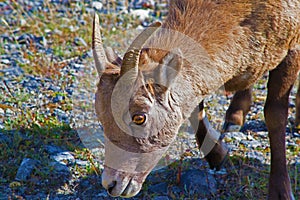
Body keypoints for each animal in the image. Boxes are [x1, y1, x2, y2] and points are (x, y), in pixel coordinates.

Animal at [92, 0, 298, 199]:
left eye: (139, 117)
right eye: (102, 118)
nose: (111, 184)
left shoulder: (292, 49)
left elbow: (275, 117)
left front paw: (281, 192)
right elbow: (195, 112)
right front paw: (218, 156)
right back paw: (235, 117)